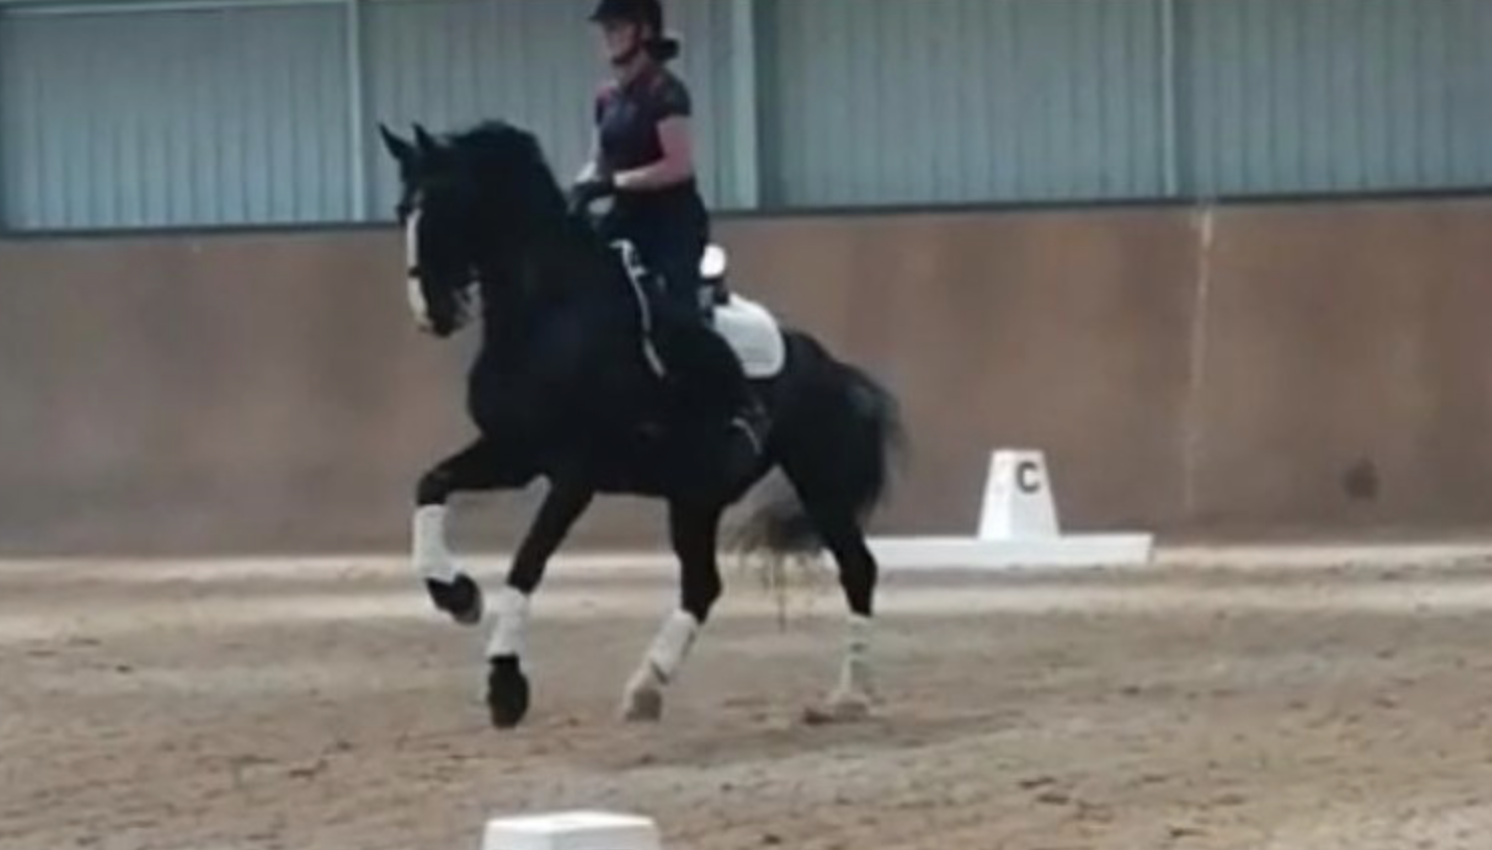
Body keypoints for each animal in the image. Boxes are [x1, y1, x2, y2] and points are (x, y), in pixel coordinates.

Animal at [378, 119, 905, 729]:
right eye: (403, 210)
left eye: (452, 202)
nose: (432, 313)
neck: (548, 316)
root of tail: (828, 364)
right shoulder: (513, 453)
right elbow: (431, 485)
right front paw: (456, 594)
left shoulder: (574, 473)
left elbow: (527, 563)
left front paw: (505, 683)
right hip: (695, 495)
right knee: (702, 586)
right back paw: (645, 688)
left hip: (816, 481)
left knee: (857, 568)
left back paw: (849, 696)